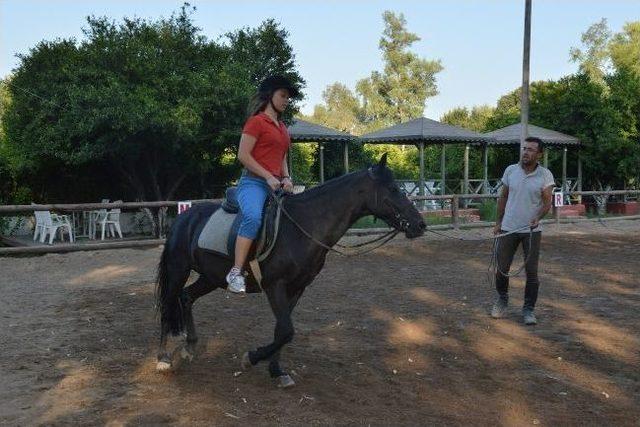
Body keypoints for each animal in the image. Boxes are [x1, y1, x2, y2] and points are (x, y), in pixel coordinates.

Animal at [154, 155, 424, 388]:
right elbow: (286, 330)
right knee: (168, 305)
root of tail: (183, 218)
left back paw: (189, 348)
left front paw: (276, 370)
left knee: (186, 297)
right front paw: (251, 358)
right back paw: (163, 358)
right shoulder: (275, 285)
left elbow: (282, 331)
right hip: (178, 270)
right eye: (394, 189)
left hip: (211, 277)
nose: (420, 224)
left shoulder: (297, 287)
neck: (302, 226)